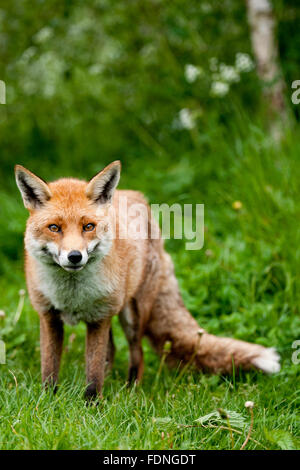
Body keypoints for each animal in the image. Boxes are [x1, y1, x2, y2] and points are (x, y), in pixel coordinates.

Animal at [15, 162, 280, 400]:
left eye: (88, 226)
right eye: (54, 228)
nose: (74, 256)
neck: (72, 295)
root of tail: (136, 197)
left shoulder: (99, 318)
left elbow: (93, 376)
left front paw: (91, 406)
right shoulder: (49, 315)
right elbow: (50, 369)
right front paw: (47, 402)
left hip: (132, 314)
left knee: (137, 353)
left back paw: (131, 390)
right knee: (112, 351)